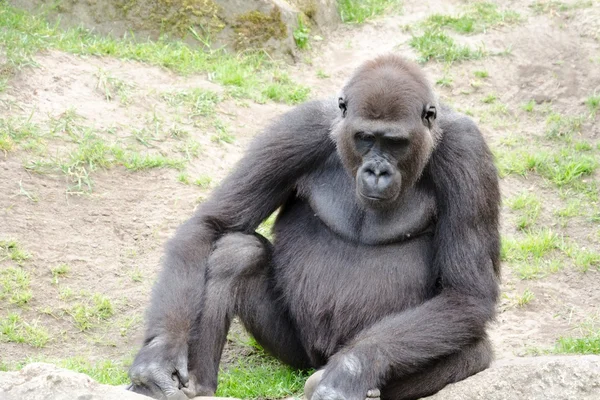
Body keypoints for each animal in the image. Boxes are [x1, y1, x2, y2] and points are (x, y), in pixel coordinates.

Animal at [127, 54, 502, 400]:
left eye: (395, 142)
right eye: (365, 138)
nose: (377, 171)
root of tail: (317, 359)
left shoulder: (467, 151)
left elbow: (466, 293)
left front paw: (352, 371)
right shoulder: (301, 128)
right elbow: (210, 224)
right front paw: (159, 354)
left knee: (475, 350)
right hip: (297, 351)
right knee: (236, 252)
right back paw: (200, 385)